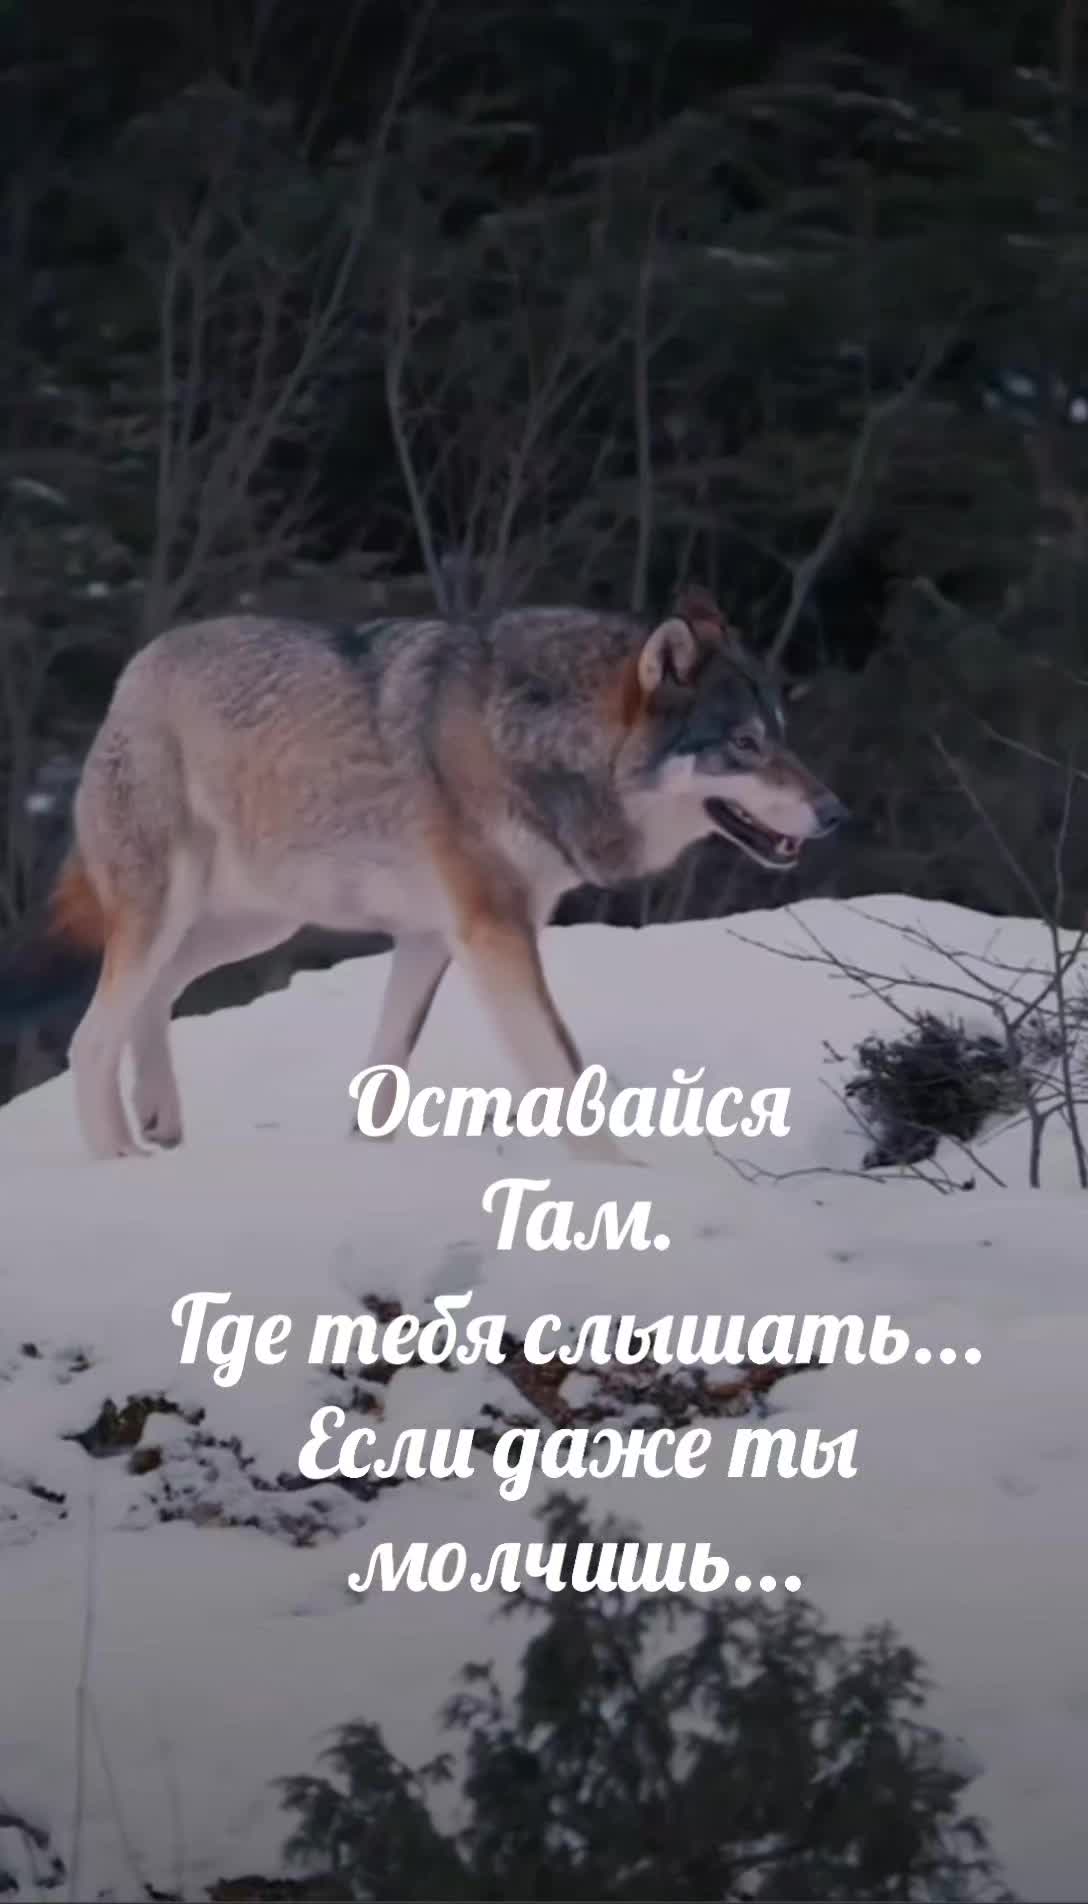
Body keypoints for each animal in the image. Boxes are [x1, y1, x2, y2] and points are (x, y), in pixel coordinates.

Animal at [0, 586, 844, 1160]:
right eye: (743, 744)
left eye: (781, 735)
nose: (836, 812)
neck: (537, 741)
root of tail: (133, 674)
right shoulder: (492, 933)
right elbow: (565, 1074)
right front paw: (626, 1180)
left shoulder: (431, 938)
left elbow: (383, 1080)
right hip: (174, 910)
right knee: (90, 1036)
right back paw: (119, 1157)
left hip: (254, 924)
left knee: (157, 996)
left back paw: (159, 1117)